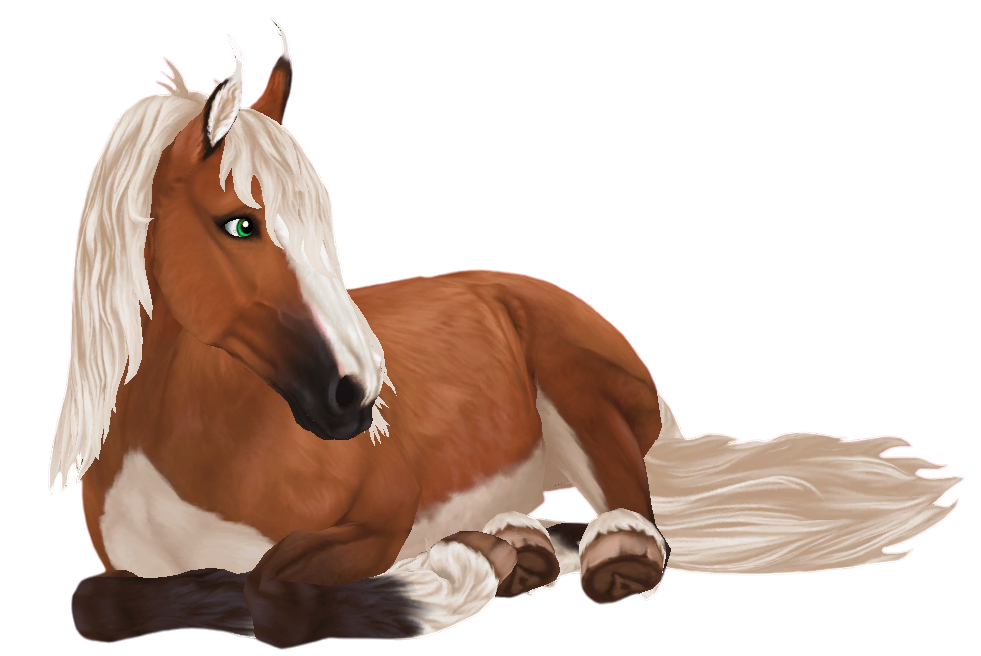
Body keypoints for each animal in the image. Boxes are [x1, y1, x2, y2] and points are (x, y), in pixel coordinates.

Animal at [52, 18, 964, 648]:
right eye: (239, 224)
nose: (358, 399)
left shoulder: (375, 525)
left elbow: (271, 595)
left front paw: (448, 581)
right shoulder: (122, 566)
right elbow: (98, 603)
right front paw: (480, 563)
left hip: (577, 388)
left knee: (637, 519)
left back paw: (574, 554)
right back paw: (517, 545)